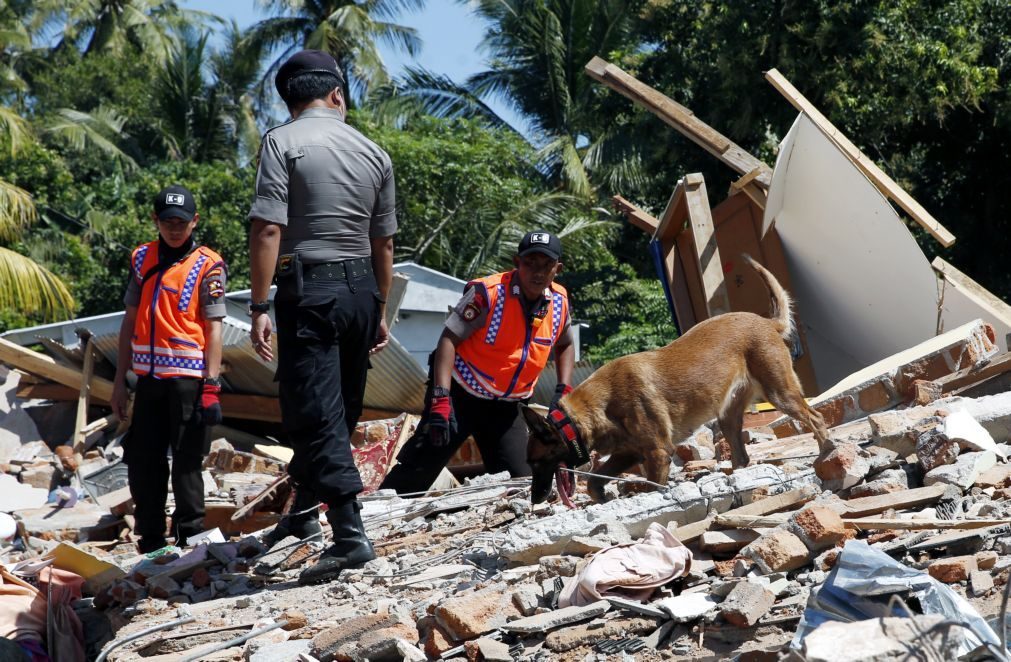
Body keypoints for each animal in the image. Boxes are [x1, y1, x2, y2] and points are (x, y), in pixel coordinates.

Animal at [521, 256, 829, 505]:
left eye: (536, 463)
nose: (535, 499)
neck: (596, 406)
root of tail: (767, 322)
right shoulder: (629, 453)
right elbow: (596, 480)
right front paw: (601, 499)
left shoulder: (658, 453)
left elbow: (652, 486)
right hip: (728, 416)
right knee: (742, 455)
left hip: (779, 393)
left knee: (815, 418)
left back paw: (827, 453)